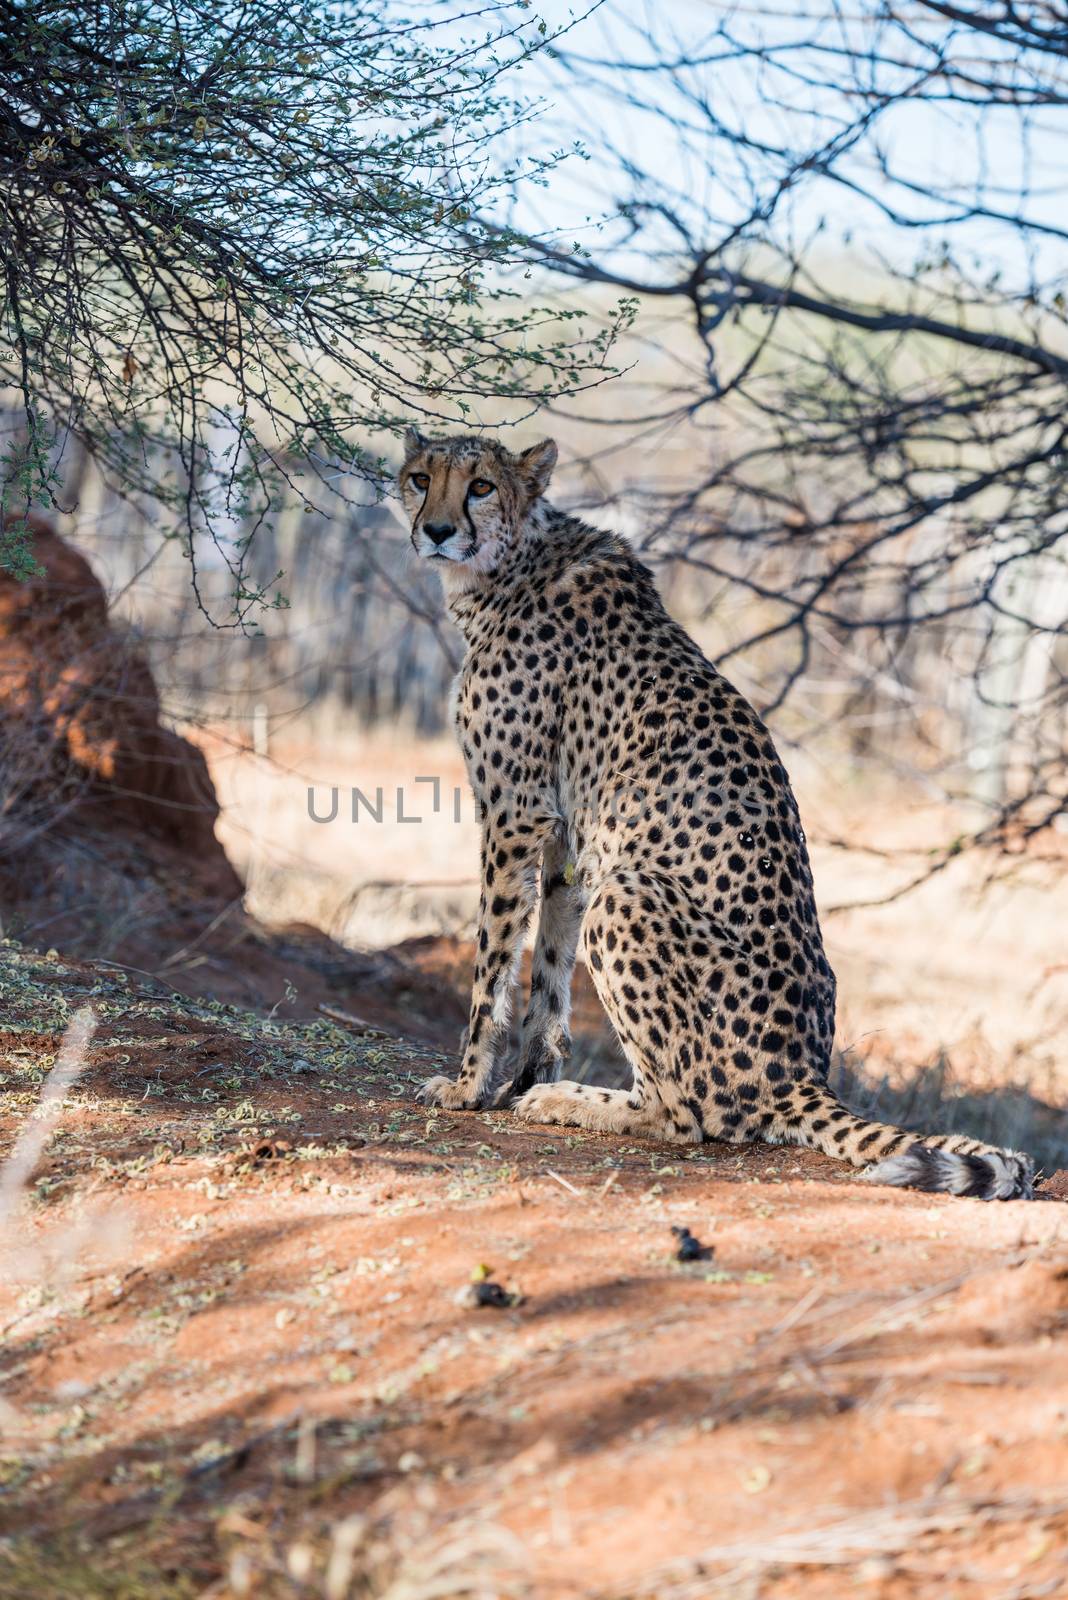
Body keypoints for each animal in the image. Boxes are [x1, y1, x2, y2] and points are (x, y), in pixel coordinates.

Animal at [398, 425, 1036, 1203]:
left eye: (482, 486)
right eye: (420, 478)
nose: (436, 530)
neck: (509, 564)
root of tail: (803, 1075)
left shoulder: (515, 814)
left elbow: (492, 966)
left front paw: (467, 1087)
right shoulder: (568, 838)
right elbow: (548, 967)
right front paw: (523, 1075)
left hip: (629, 893)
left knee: (689, 1116)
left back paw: (573, 1102)